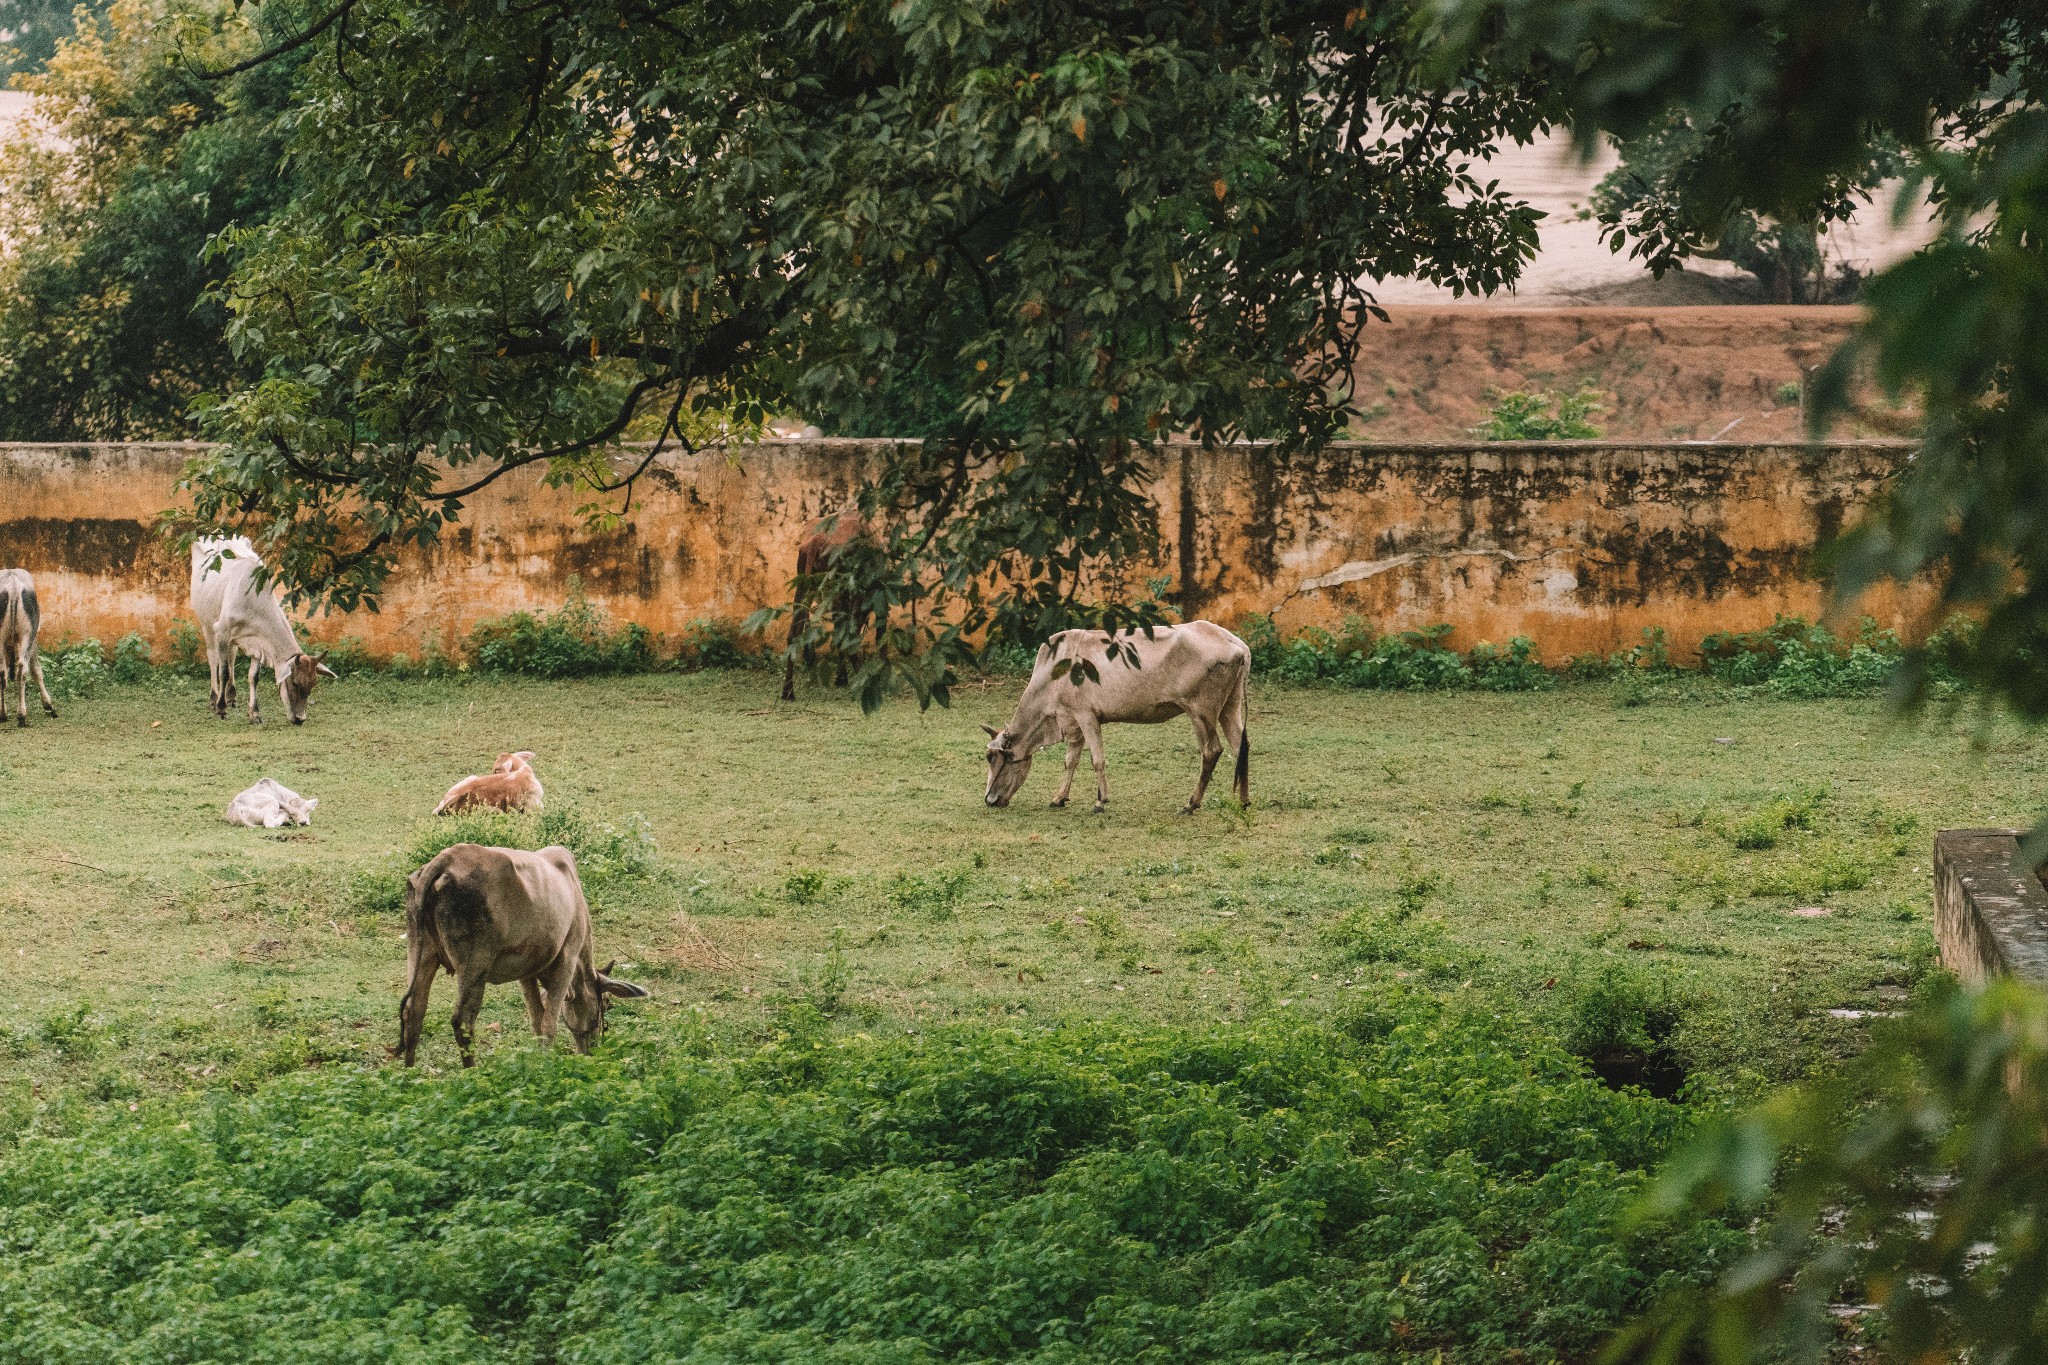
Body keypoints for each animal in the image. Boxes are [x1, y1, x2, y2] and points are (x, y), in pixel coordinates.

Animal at [0, 568, 57, 732]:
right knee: (22, 670)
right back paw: (21, 715)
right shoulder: (34, 641)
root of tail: (12, 584)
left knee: (2, 673)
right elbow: (37, 671)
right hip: (28, 636)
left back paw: (3, 714)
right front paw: (48, 705)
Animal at [193, 532, 337, 724]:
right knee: (213, 657)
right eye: (295, 682)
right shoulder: (222, 631)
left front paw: (255, 713)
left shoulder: (257, 641)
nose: (300, 719)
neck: (252, 599)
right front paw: (221, 708)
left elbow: (253, 677)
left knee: (231, 656)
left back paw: (231, 696)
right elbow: (223, 671)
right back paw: (214, 698)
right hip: (207, 624)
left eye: (313, 684)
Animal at [395, 843, 651, 1064]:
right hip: (475, 965)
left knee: (413, 1013)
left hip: (421, 953)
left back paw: (410, 1074)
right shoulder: (567, 959)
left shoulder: (526, 971)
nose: (592, 1050)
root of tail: (446, 859)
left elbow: (536, 1021)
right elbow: (548, 1025)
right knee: (462, 1020)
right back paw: (472, 1071)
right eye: (606, 1003)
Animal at [978, 626, 1245, 818]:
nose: (989, 800)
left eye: (992, 757)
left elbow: (1097, 760)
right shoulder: (1073, 725)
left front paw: (1100, 801)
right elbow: (1070, 761)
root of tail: (1235, 642)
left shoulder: (1086, 716)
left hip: (1199, 713)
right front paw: (1059, 798)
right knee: (1240, 747)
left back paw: (1191, 804)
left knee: (1212, 750)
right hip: (1230, 709)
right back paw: (1244, 801)